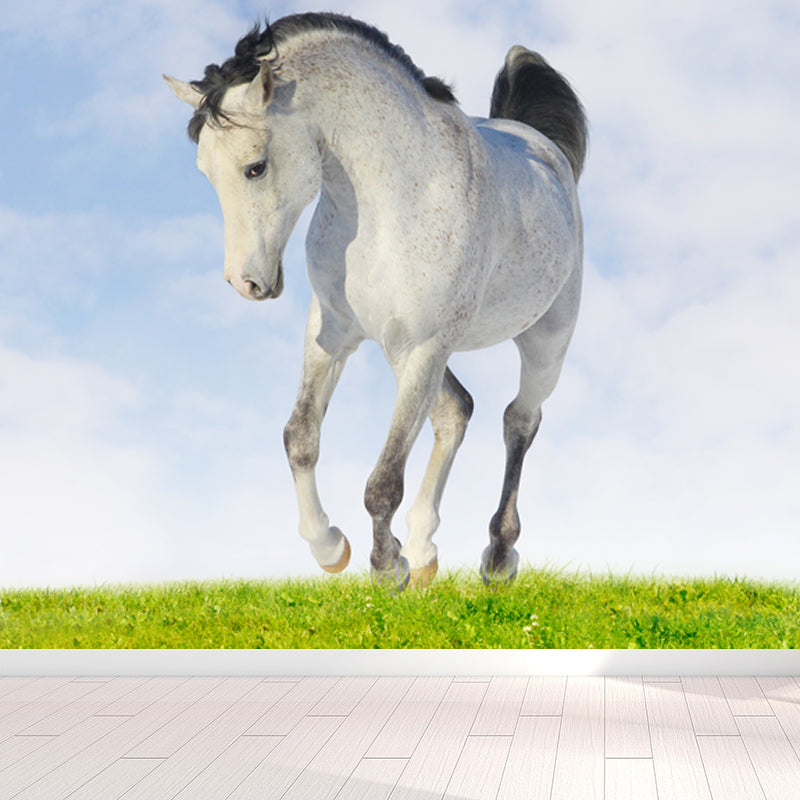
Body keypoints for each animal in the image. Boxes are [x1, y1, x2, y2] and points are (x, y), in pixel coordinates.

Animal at [165, 12, 587, 592]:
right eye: (205, 171)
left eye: (256, 167)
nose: (245, 282)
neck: (394, 198)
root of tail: (546, 149)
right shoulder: (334, 332)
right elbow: (300, 437)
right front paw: (330, 548)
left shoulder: (426, 347)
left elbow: (383, 480)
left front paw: (387, 569)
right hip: (399, 351)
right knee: (456, 412)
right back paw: (425, 548)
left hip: (543, 342)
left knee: (519, 421)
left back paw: (498, 556)